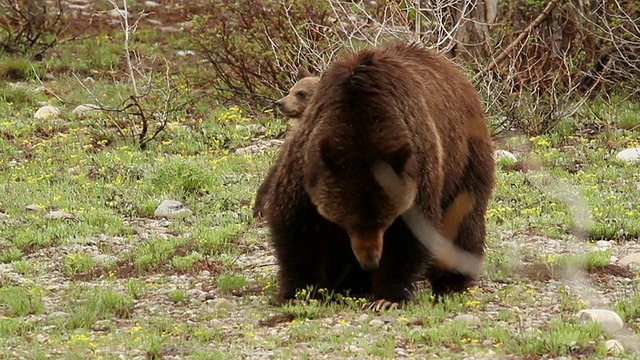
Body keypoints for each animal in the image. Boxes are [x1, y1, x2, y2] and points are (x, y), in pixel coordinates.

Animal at [260, 41, 496, 306]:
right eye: (349, 223)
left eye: (384, 222)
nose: (370, 262)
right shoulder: (307, 164)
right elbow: (297, 225)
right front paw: (300, 292)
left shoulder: (415, 168)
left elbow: (411, 234)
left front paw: (387, 296)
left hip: (465, 154)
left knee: (462, 216)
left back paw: (452, 282)